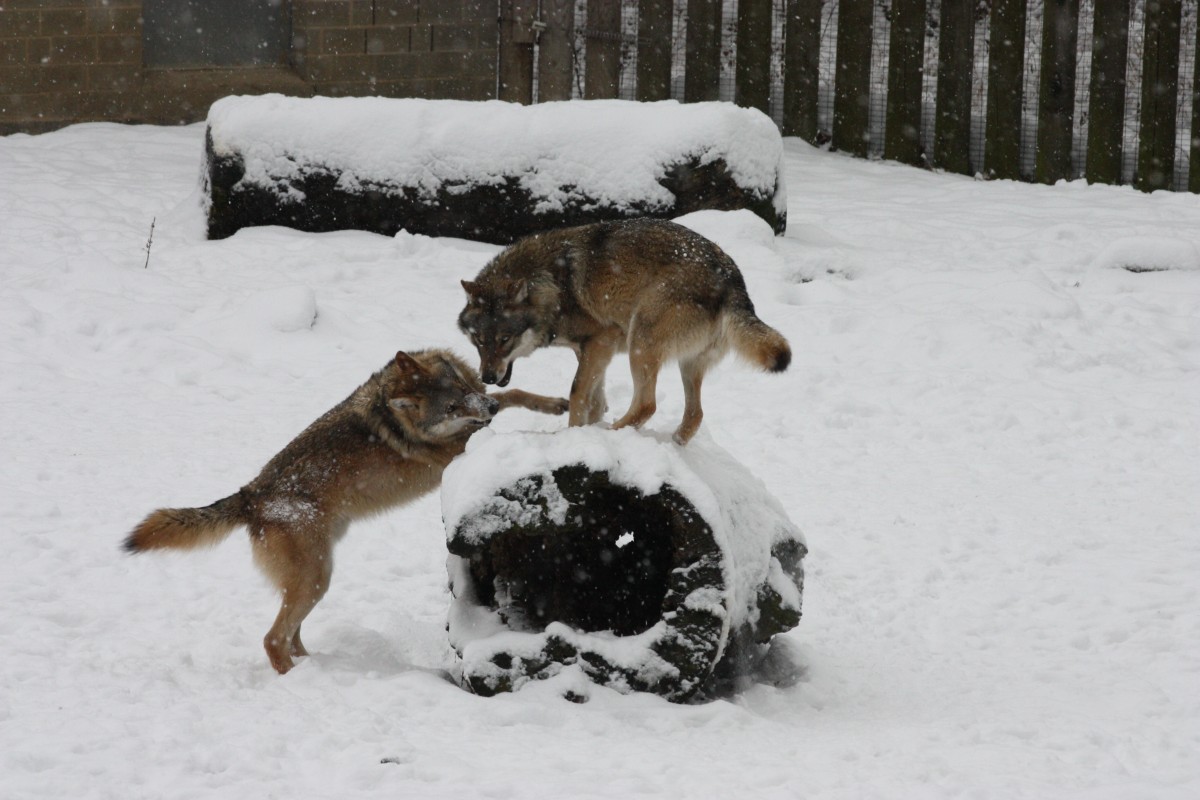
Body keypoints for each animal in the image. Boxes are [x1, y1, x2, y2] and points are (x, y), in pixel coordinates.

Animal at [124, 349, 568, 674]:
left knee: (292, 636)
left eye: (460, 386)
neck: (392, 409)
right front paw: (553, 433)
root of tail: (249, 495)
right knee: (272, 639)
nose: (485, 404)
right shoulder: (454, 448)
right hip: (316, 579)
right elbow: (506, 423)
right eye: (452, 407)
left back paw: (315, 665)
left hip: (314, 580)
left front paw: (555, 405)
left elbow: (515, 395)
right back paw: (300, 681)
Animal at [458, 218, 791, 445]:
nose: (488, 378)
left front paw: (574, 436)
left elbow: (578, 394)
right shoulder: (590, 351)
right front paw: (587, 427)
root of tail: (733, 280)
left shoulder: (602, 339)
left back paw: (613, 434)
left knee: (647, 404)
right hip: (686, 363)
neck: (549, 285)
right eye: (478, 341)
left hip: (640, 340)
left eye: (504, 339)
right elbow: (596, 402)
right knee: (694, 415)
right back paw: (672, 444)